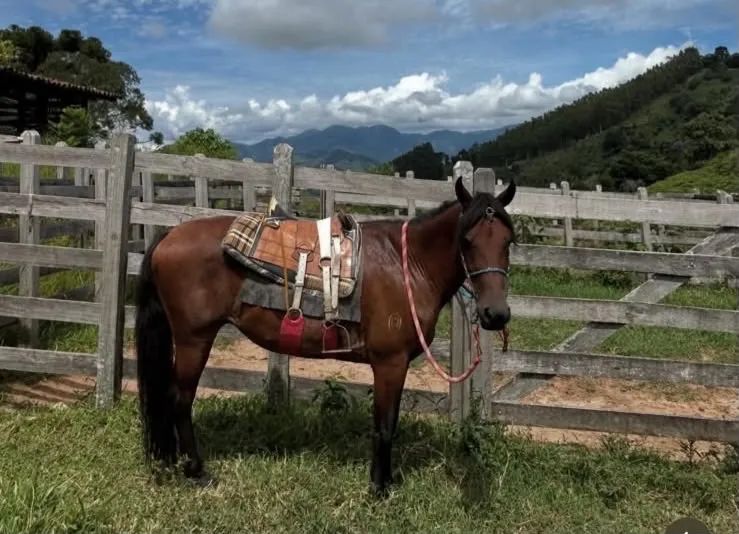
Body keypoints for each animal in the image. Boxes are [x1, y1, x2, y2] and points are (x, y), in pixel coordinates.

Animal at [134, 177, 516, 496]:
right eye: (467, 240)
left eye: (508, 241)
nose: (495, 314)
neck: (407, 267)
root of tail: (168, 236)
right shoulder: (390, 364)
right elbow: (385, 425)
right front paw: (379, 488)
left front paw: (386, 481)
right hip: (193, 339)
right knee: (179, 400)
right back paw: (196, 470)